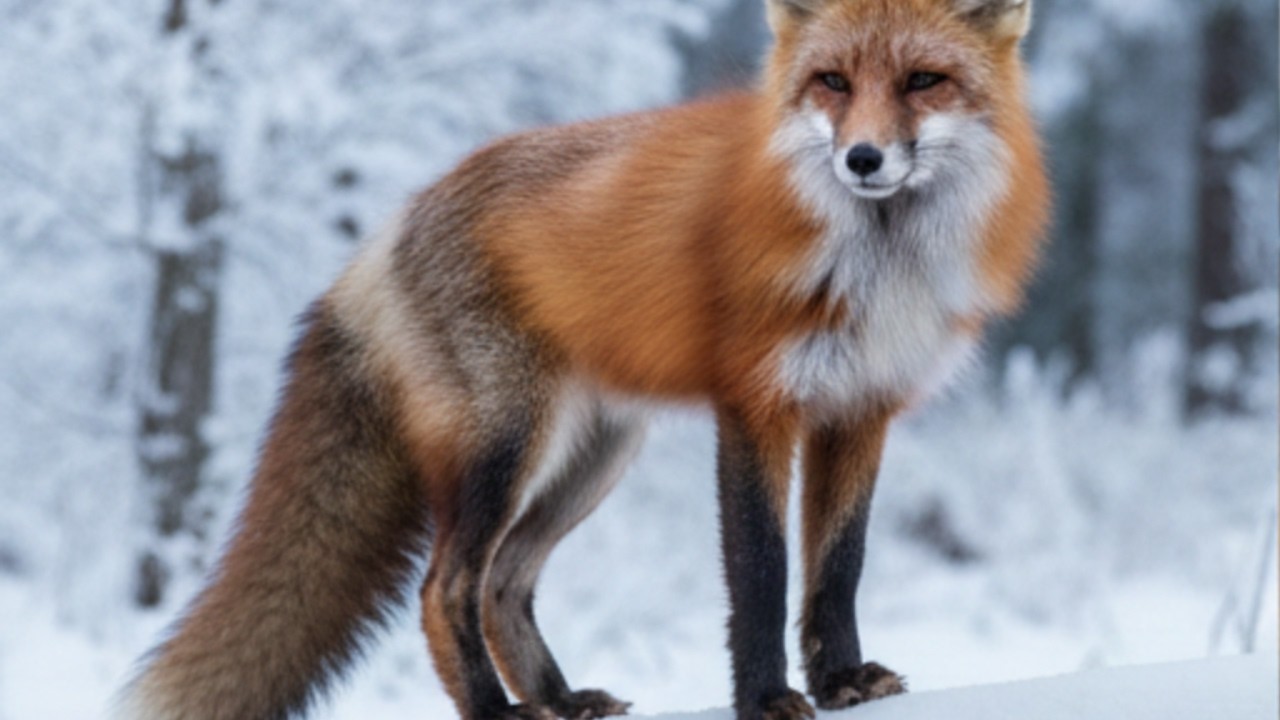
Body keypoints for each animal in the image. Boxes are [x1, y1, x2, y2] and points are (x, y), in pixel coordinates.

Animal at [116, 1, 1048, 719]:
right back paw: (499, 711)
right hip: (507, 445)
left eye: (923, 81)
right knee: (445, 587)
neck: (875, 262)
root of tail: (391, 226)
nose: (862, 158)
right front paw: (765, 698)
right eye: (834, 83)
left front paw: (842, 680)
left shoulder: (861, 409)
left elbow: (838, 569)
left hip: (592, 459)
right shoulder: (756, 406)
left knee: (502, 585)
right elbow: (762, 571)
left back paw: (561, 701)